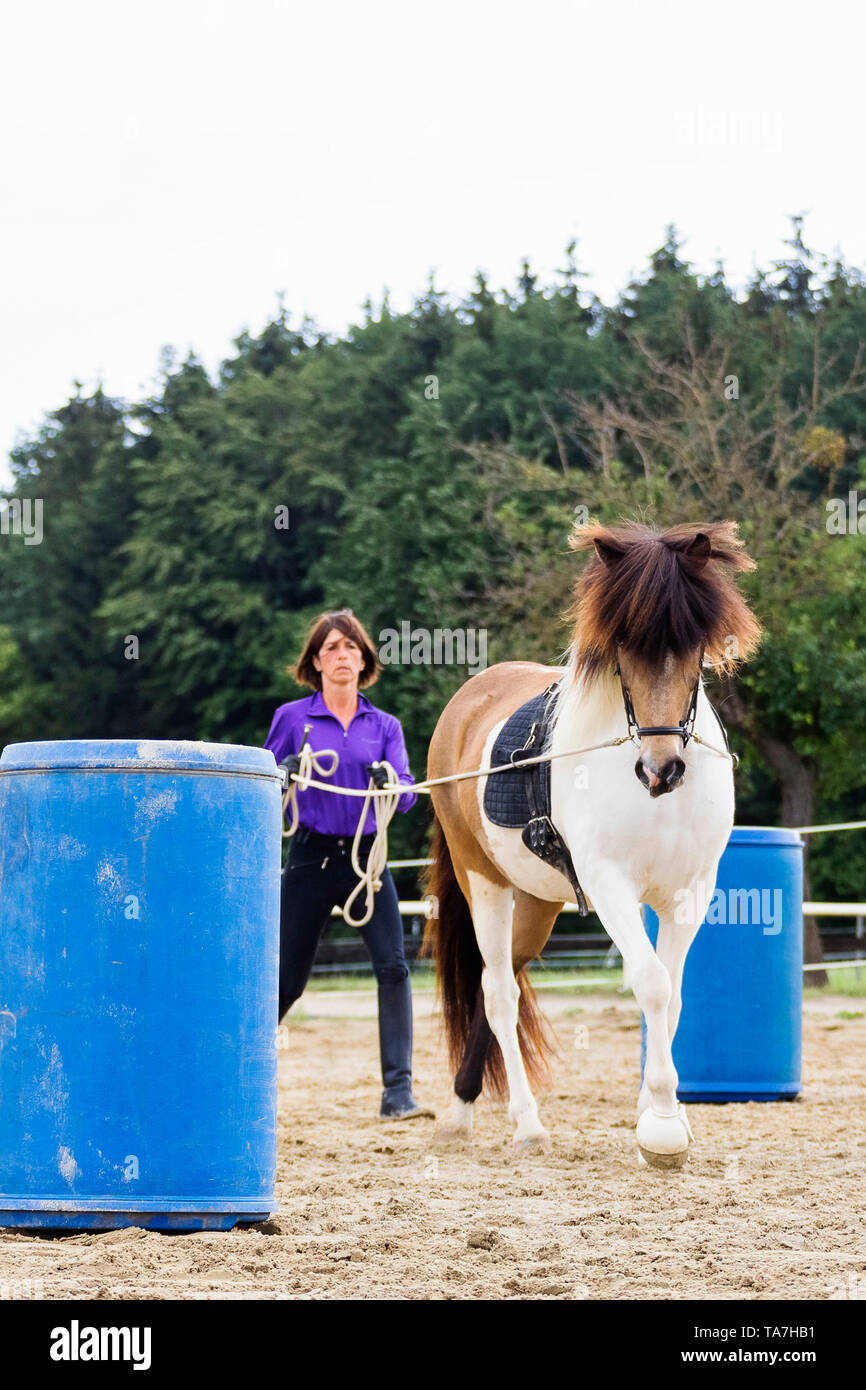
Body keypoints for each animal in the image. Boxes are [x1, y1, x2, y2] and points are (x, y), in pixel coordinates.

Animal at [422, 519, 761, 1168]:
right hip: (486, 884)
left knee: (496, 986)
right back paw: (525, 1125)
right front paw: (661, 1131)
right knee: (498, 991)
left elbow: (672, 999)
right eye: (623, 648)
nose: (661, 770)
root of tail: (472, 696)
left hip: (536, 903)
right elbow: (651, 983)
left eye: (692, 645)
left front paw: (662, 1118)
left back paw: (462, 1107)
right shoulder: (611, 887)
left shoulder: (690, 894)